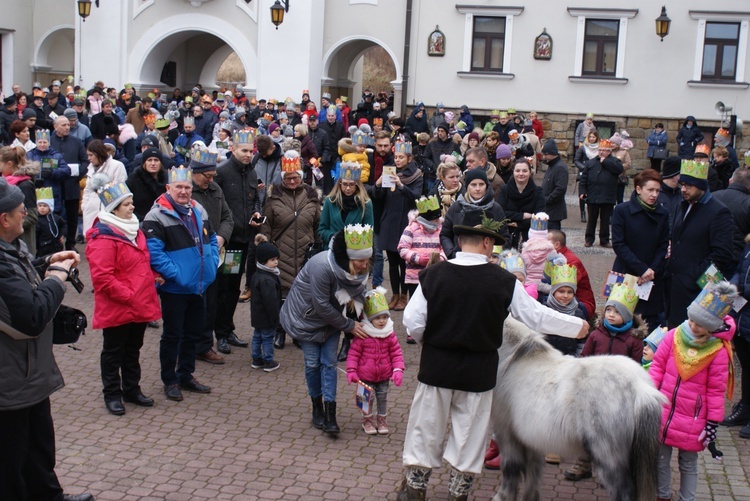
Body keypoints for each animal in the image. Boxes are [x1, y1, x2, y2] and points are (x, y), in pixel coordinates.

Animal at [496, 318, 668, 498]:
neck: (514, 361)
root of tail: (640, 387)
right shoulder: (530, 439)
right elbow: (532, 474)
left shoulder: (506, 433)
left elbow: (510, 470)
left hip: (609, 457)